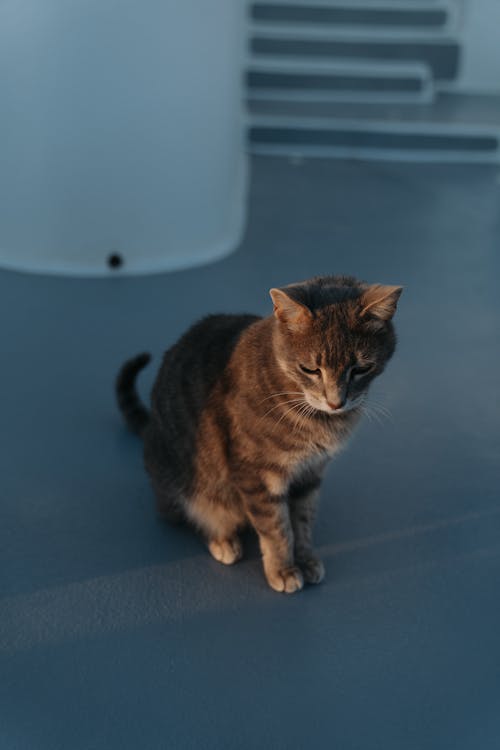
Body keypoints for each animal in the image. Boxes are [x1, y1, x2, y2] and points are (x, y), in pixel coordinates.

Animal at [117, 274, 402, 592]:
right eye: (310, 369)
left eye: (361, 368)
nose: (336, 402)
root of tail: (150, 427)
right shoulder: (257, 473)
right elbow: (277, 528)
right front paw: (283, 570)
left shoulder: (311, 472)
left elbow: (302, 521)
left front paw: (306, 559)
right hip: (187, 481)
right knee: (191, 512)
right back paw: (222, 540)